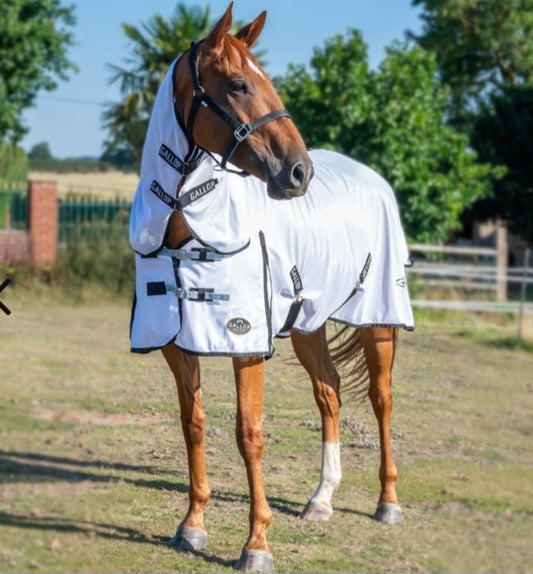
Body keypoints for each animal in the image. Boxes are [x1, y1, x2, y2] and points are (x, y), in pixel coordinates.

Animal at [129, 3, 412, 572]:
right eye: (238, 84)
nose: (299, 172)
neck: (185, 229)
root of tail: (372, 178)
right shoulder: (176, 344)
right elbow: (193, 424)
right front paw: (192, 526)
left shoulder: (245, 340)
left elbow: (249, 433)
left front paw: (256, 544)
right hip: (307, 324)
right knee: (330, 394)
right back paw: (321, 500)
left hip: (379, 320)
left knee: (381, 398)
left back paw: (387, 502)